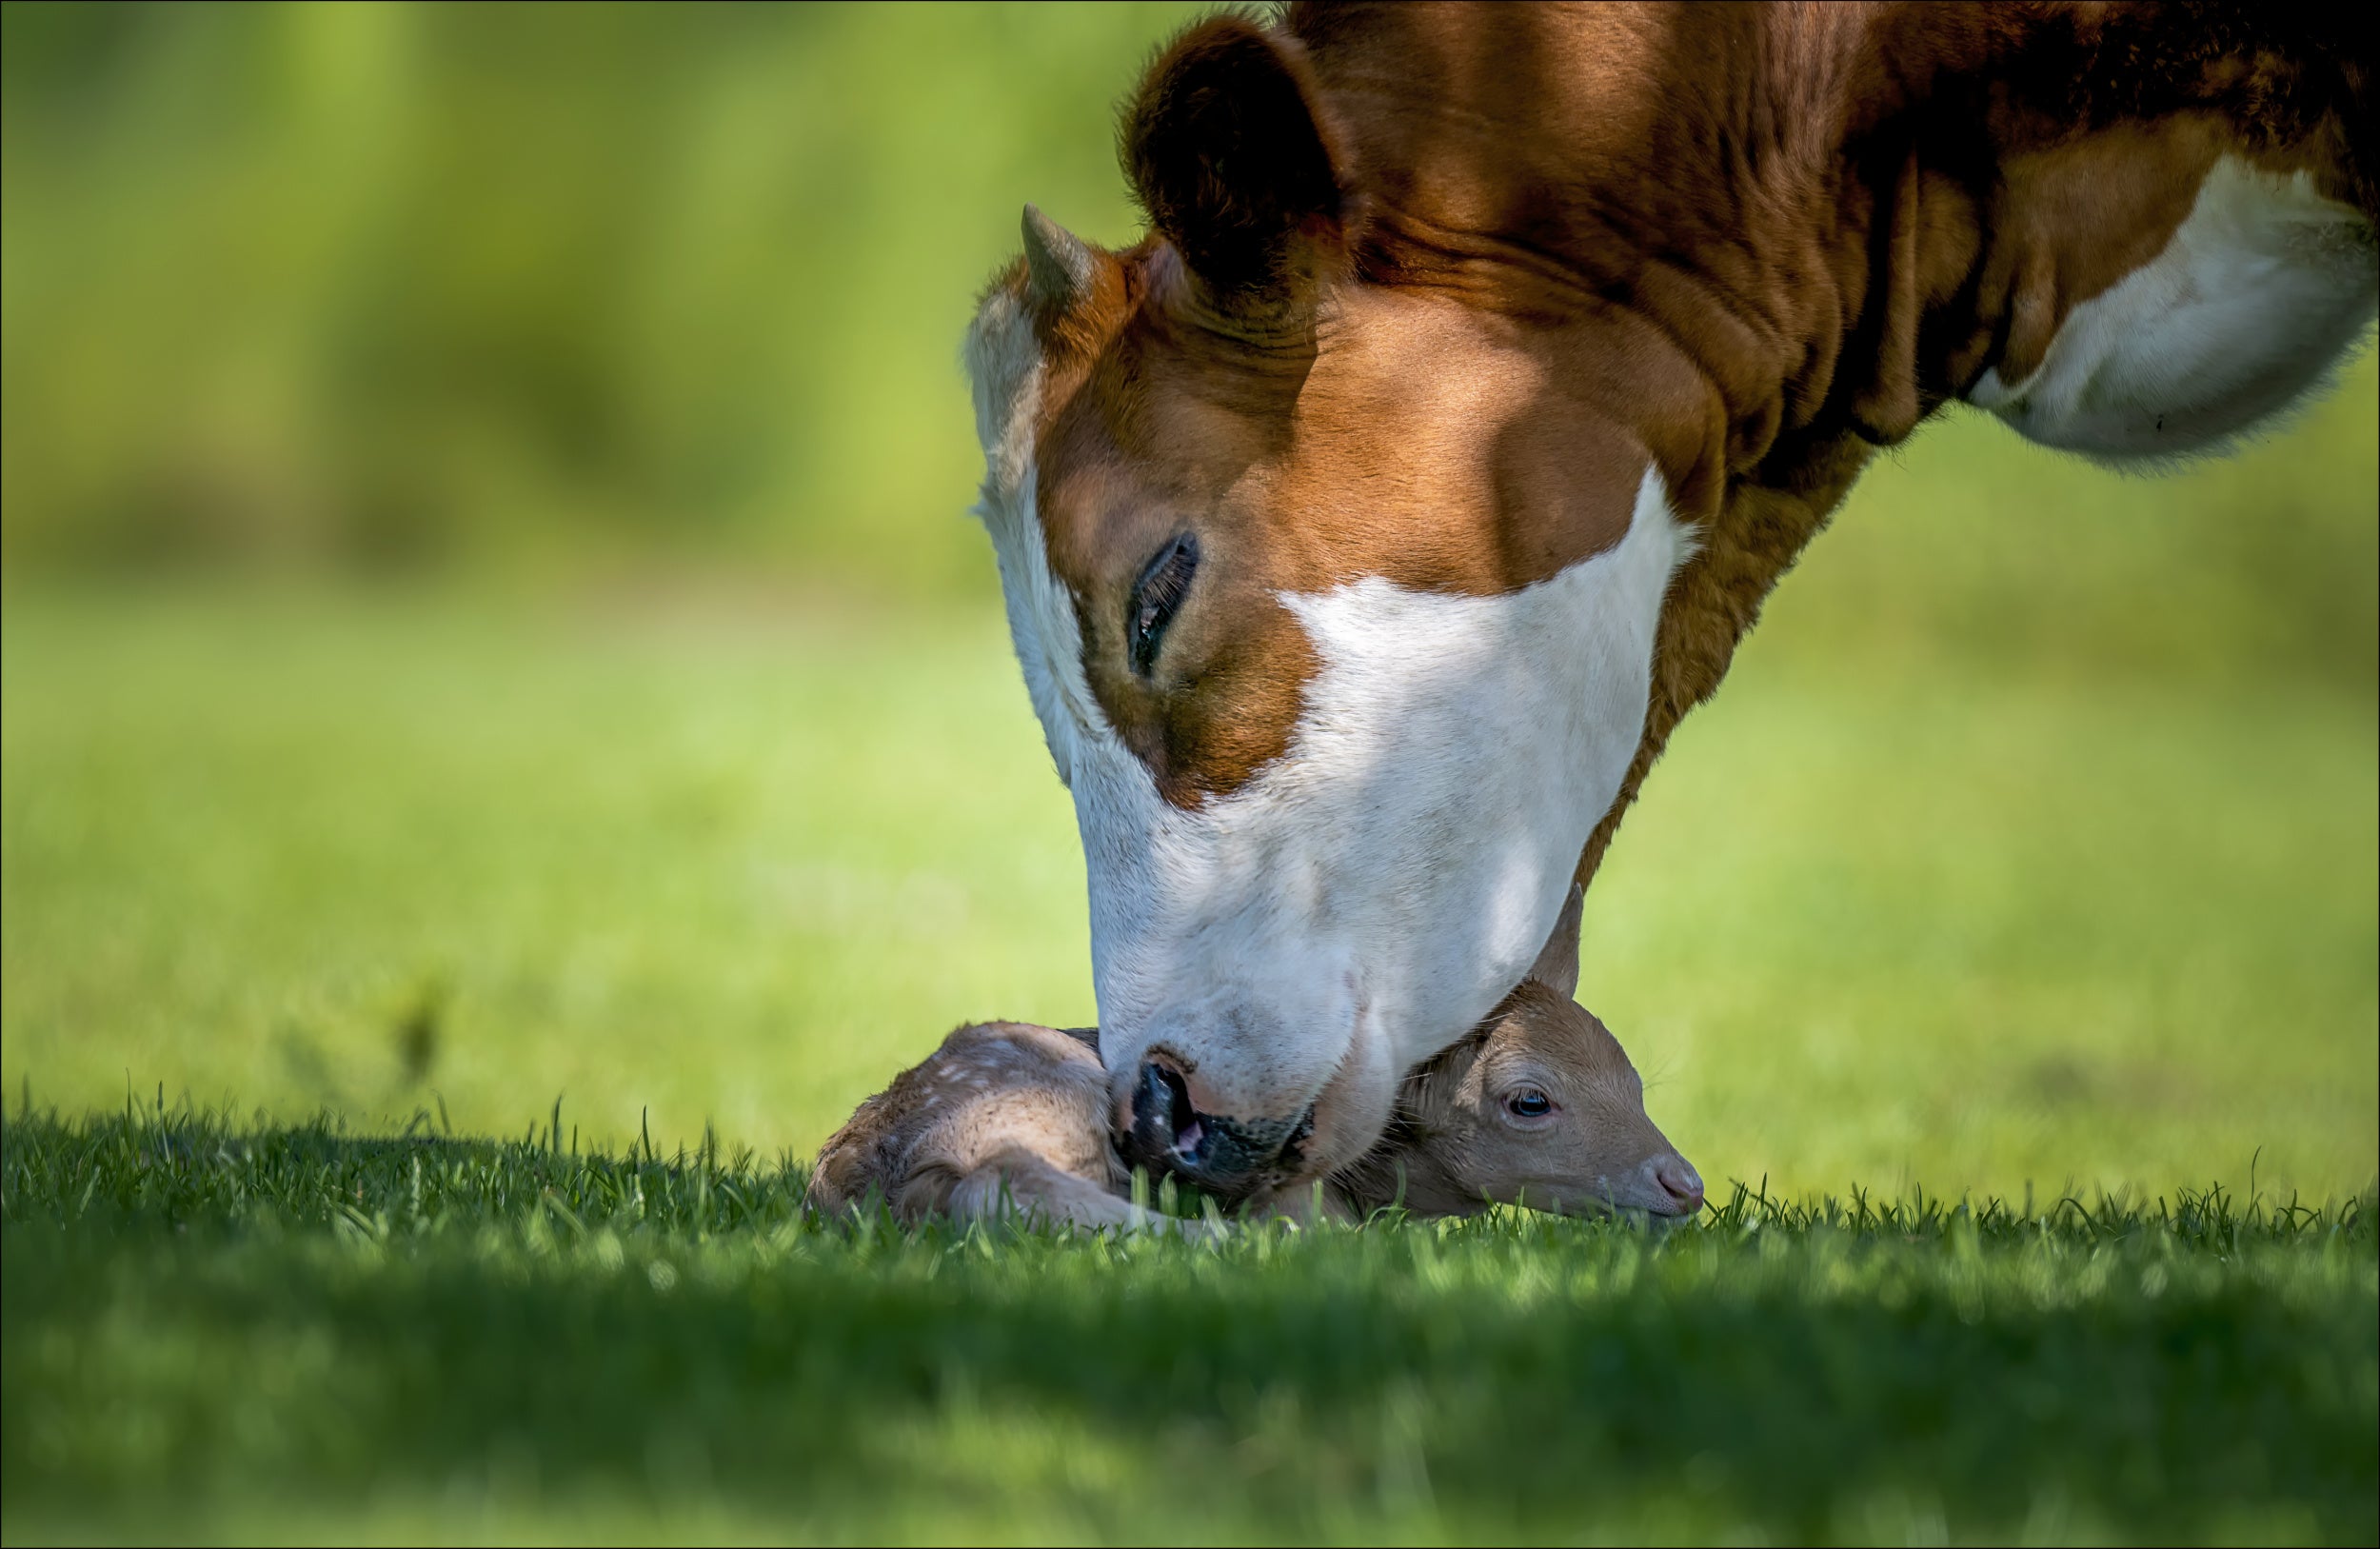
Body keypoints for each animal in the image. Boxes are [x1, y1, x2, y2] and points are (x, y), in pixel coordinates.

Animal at [809, 884, 1704, 1237]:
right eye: (1529, 1100)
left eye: (1635, 1081)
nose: (1684, 1184)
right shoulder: (1299, 1194)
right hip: (1041, 1093)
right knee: (1002, 1179)